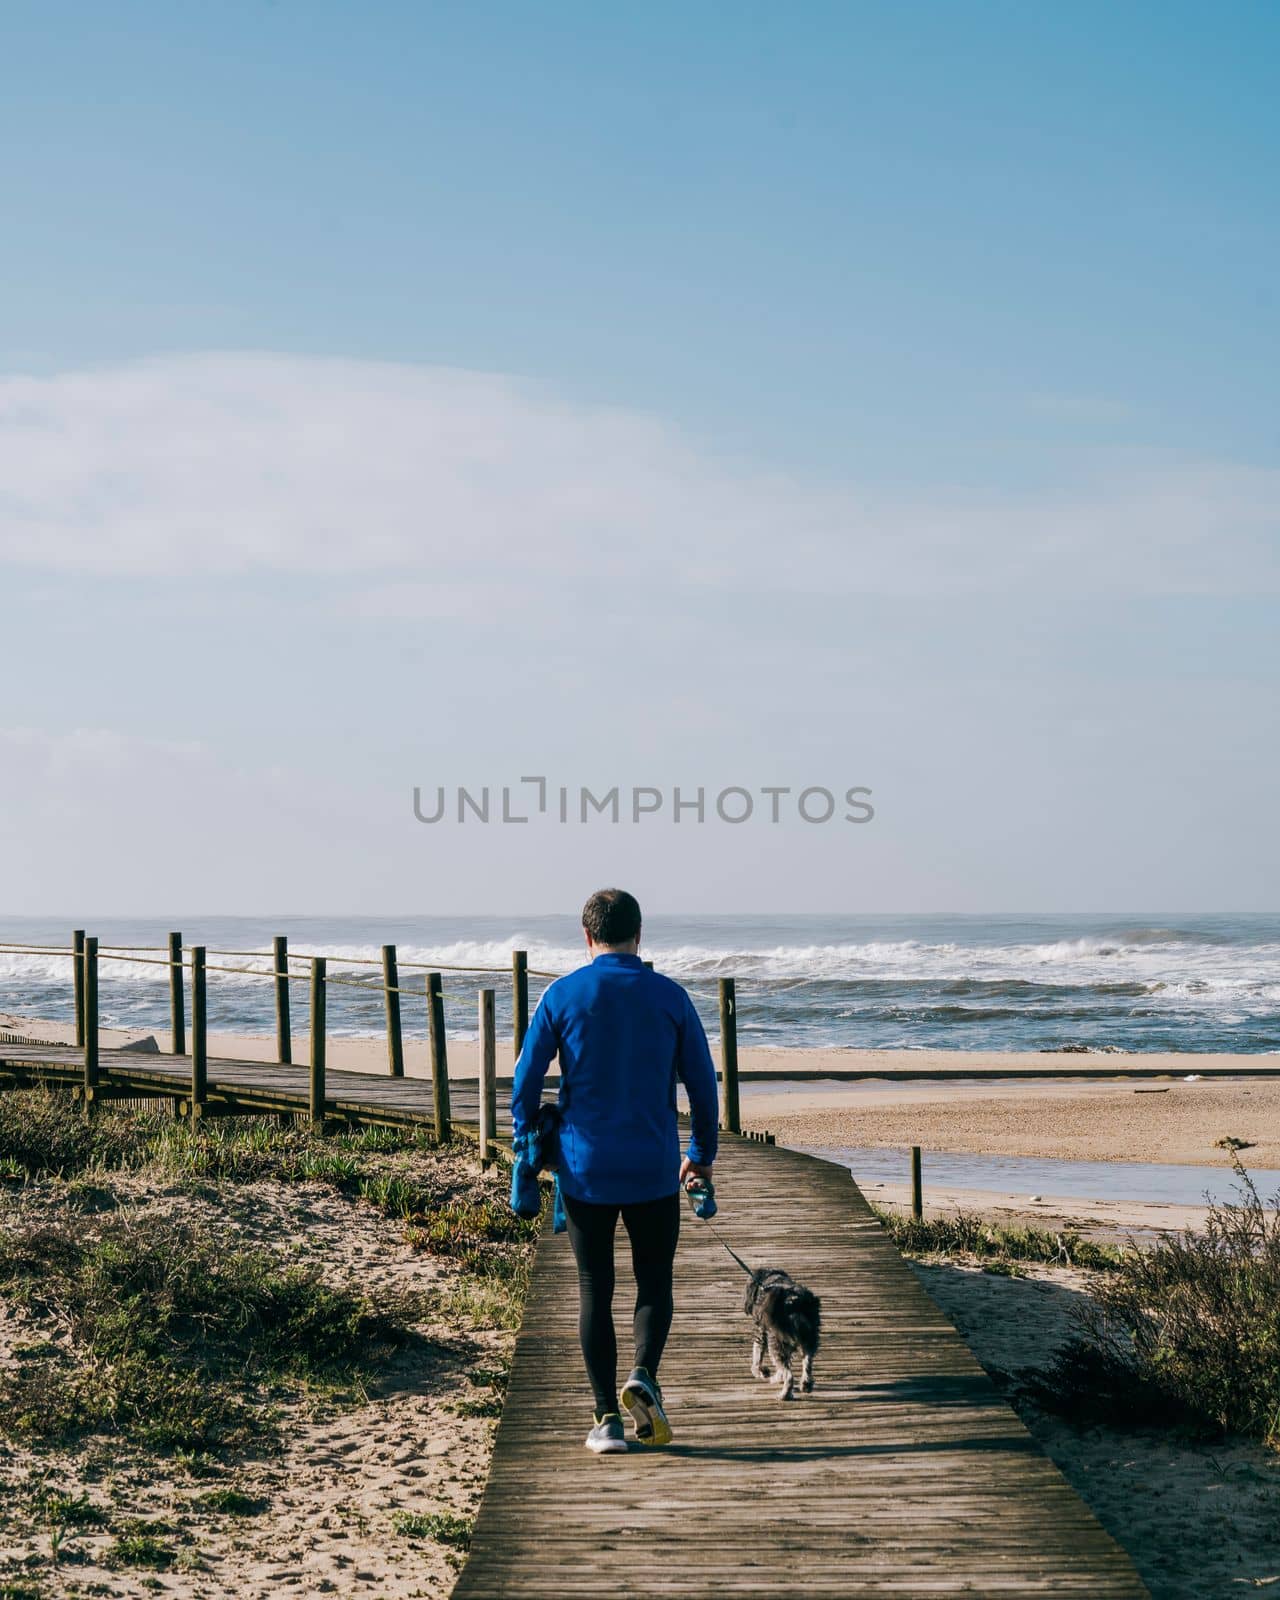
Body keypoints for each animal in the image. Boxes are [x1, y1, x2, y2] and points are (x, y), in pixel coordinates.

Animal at [745, 1260, 825, 1401]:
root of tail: (794, 1302)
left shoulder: (762, 1332)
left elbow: (757, 1355)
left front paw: (760, 1371)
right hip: (808, 1340)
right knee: (807, 1363)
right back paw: (806, 1384)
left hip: (776, 1342)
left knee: (789, 1375)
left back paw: (784, 1394)